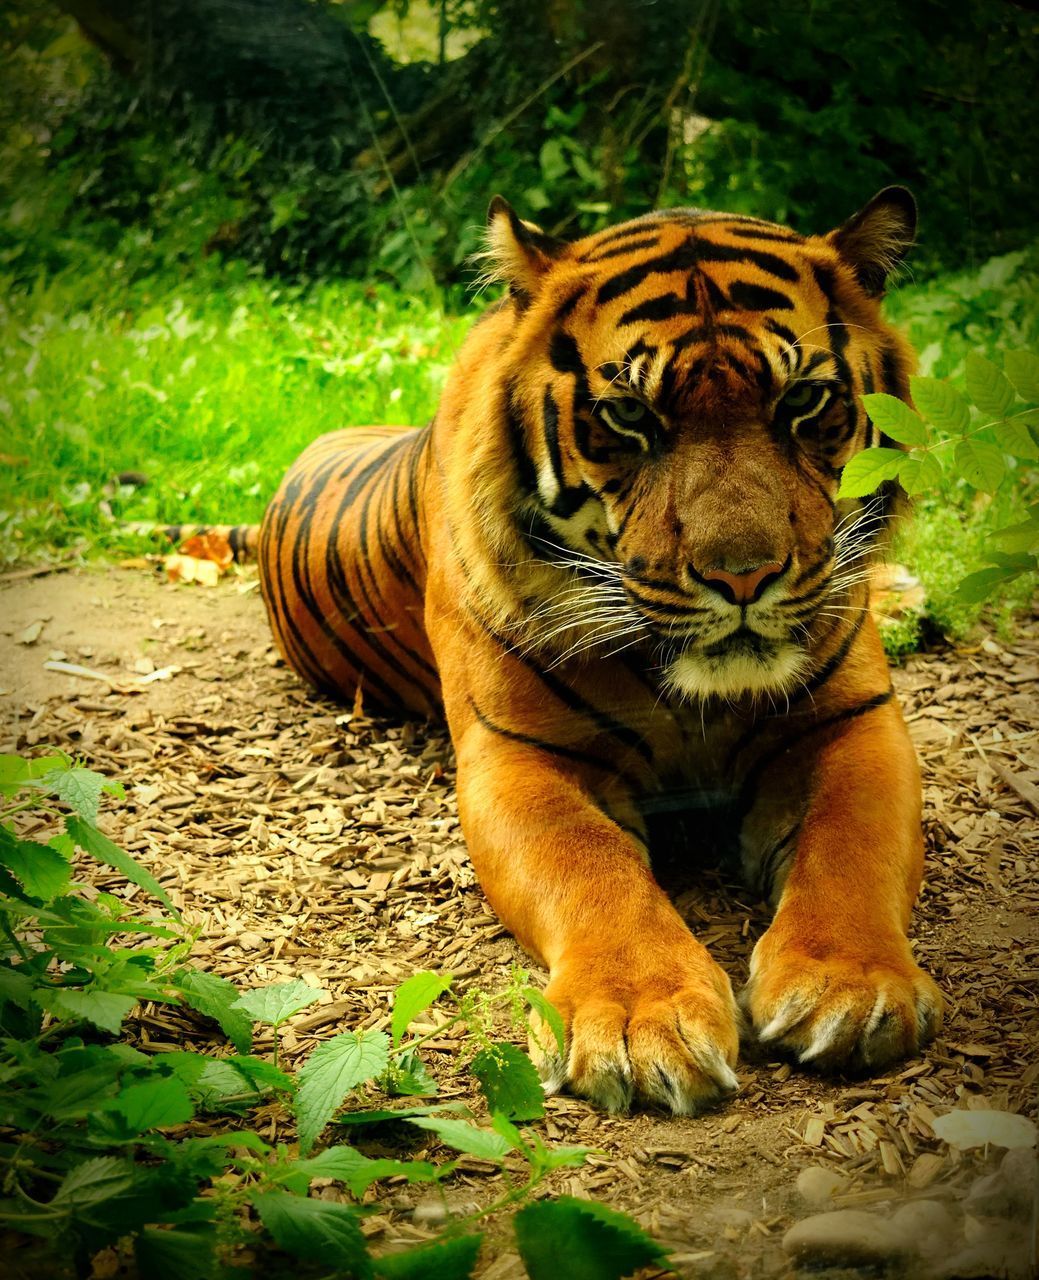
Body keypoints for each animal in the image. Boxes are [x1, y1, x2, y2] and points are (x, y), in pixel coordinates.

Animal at [252, 185, 941, 1116]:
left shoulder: (849, 723)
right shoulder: (519, 761)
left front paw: (852, 986)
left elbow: (851, 845)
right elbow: (591, 868)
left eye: (801, 401)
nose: (743, 575)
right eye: (629, 416)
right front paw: (640, 1018)